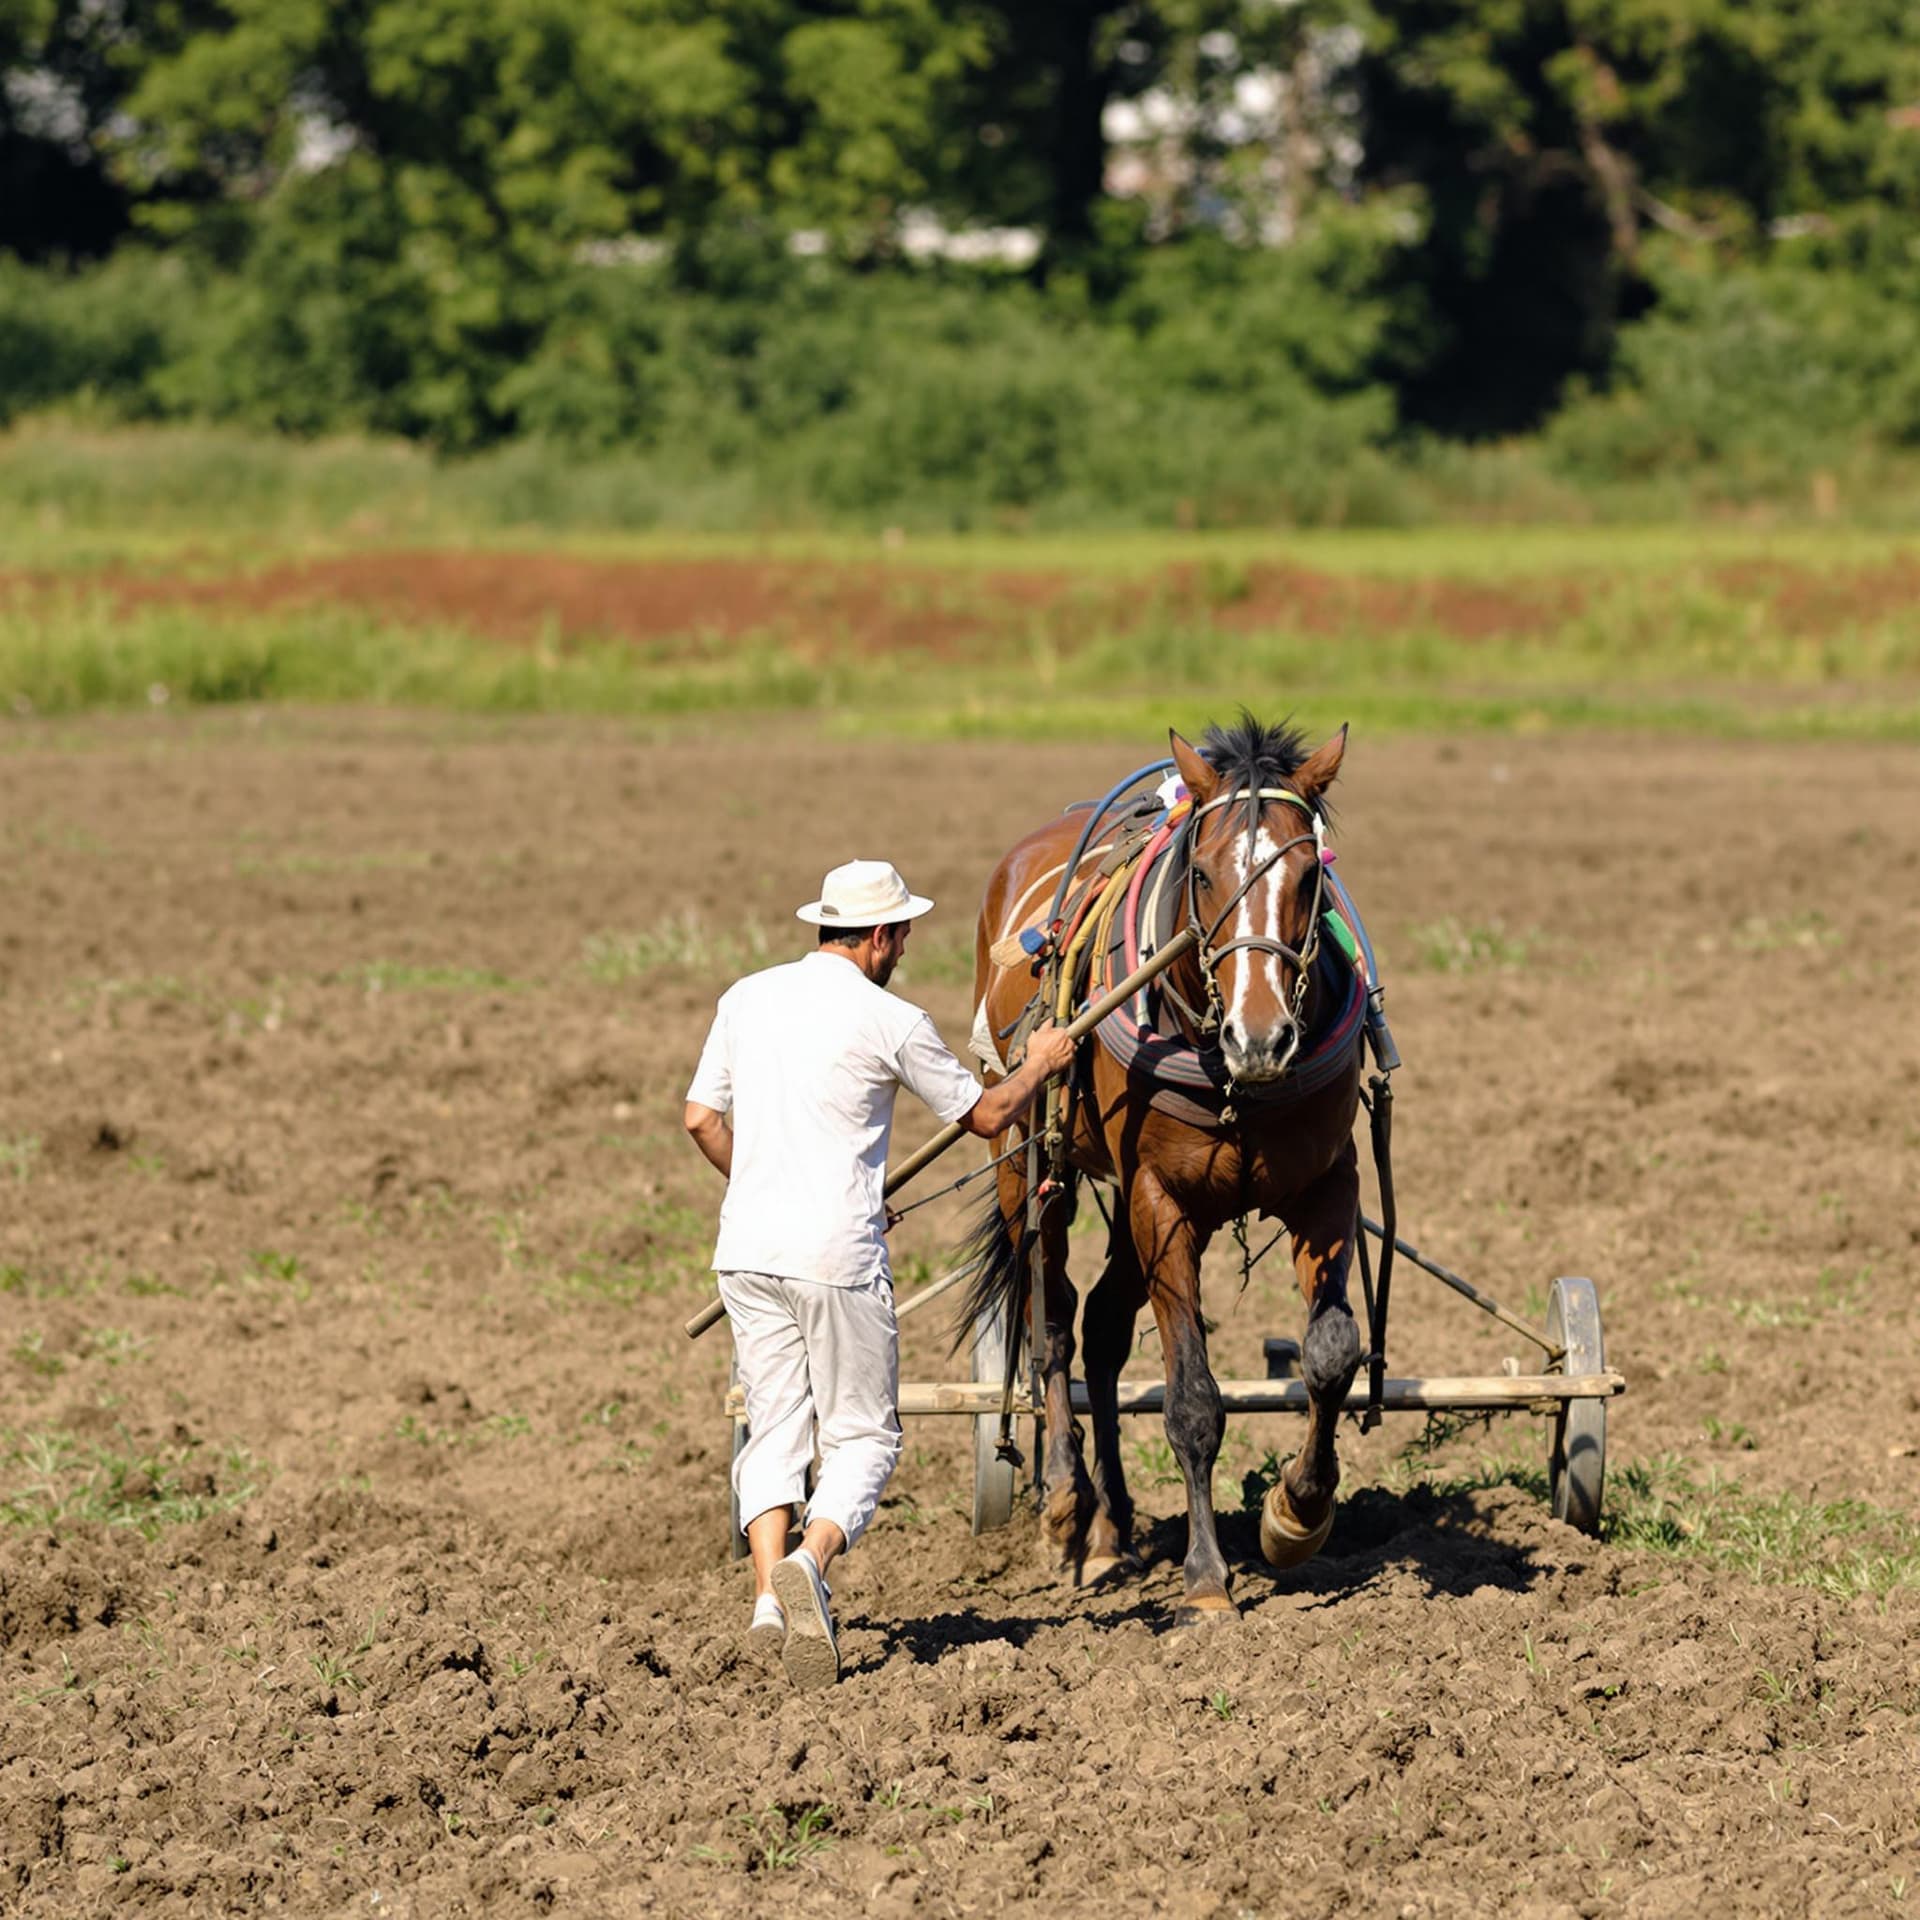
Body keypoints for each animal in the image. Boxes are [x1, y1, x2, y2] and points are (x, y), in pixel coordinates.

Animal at [957, 715, 1366, 1626]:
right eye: (1204, 873)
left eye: (1310, 874)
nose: (1262, 1037)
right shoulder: (1161, 1199)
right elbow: (1192, 1399)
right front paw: (1208, 1580)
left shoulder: (1327, 1186)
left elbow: (1331, 1355)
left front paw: (1298, 1513)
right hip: (1026, 1160)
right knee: (1051, 1324)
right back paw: (1068, 1506)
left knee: (1104, 1331)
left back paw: (1112, 1529)